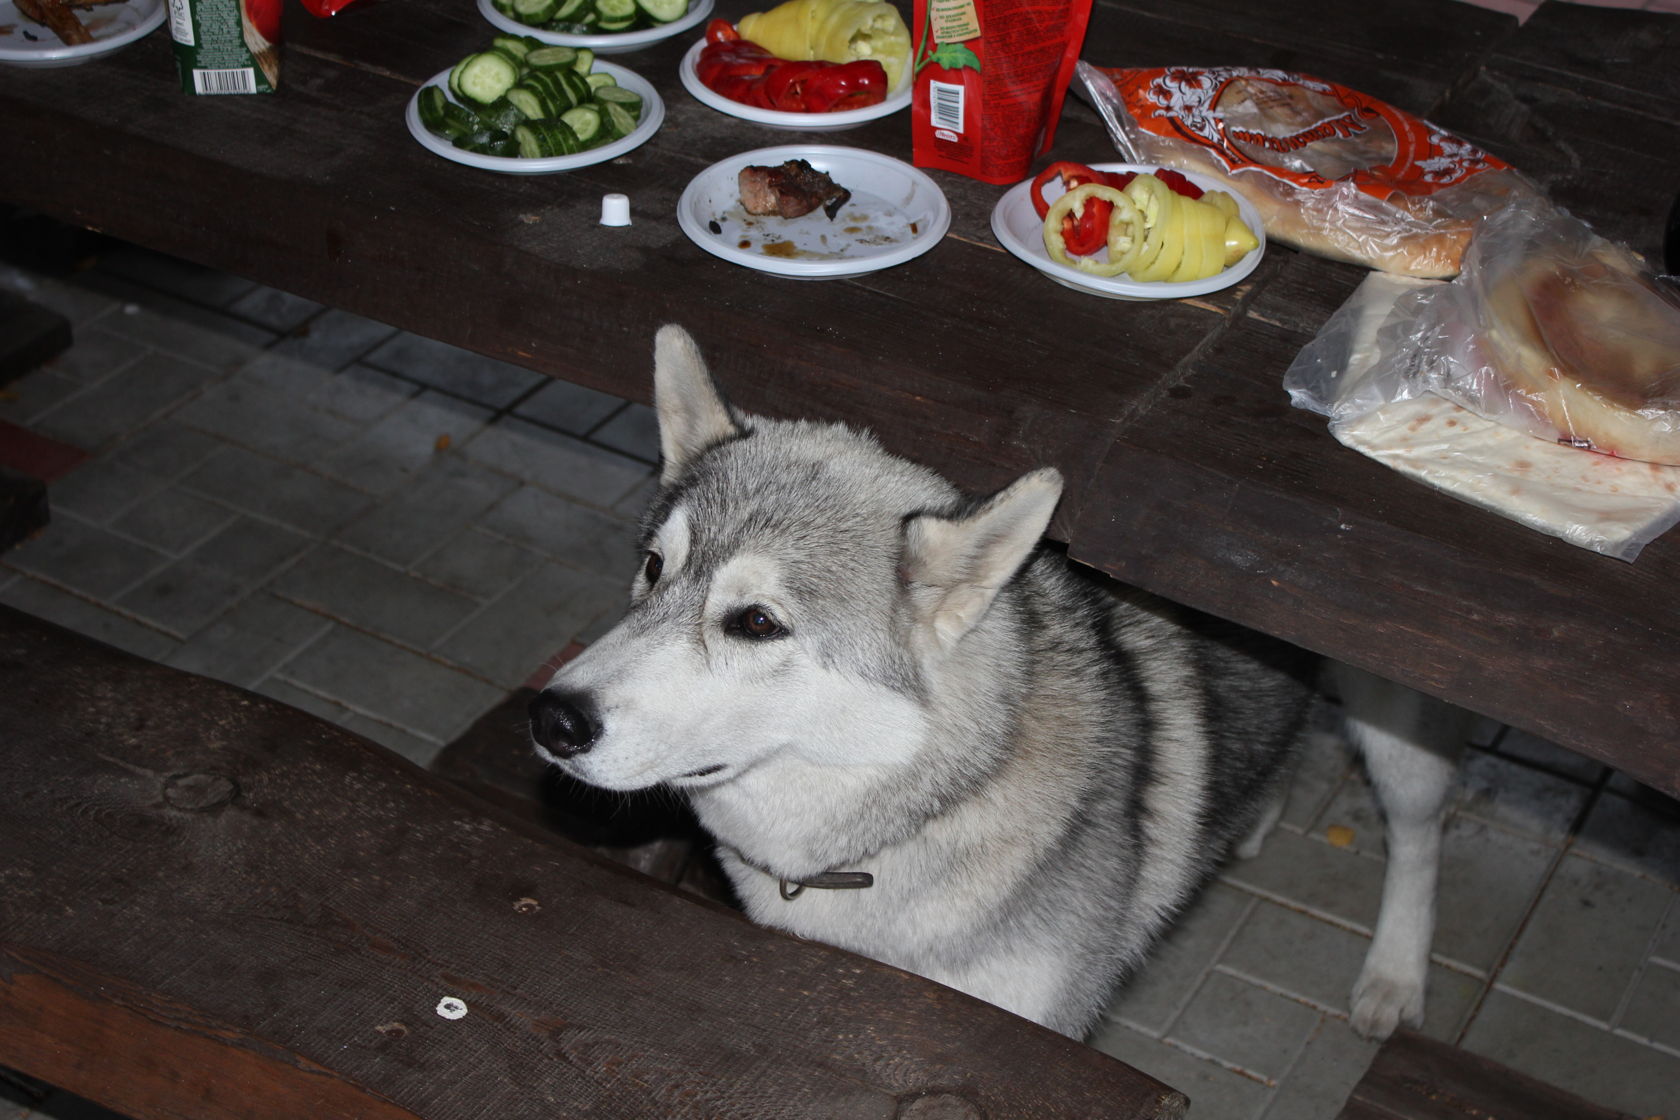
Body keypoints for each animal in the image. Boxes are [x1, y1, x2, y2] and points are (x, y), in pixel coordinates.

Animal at [529, 324, 1467, 1041]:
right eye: (654, 569)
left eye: (756, 622)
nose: (552, 719)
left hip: (1397, 733)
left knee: (1420, 838)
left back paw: (1395, 975)